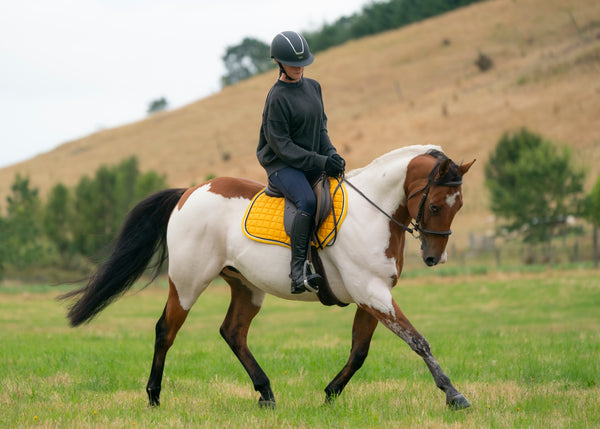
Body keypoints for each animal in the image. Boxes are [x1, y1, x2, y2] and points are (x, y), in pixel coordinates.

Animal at [59, 144, 474, 408]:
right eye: (435, 206)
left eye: (459, 206)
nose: (435, 257)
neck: (371, 213)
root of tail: (190, 191)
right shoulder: (372, 292)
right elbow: (418, 341)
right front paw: (453, 394)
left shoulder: (371, 295)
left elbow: (359, 352)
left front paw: (330, 394)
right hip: (188, 282)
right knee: (166, 330)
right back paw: (154, 395)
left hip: (246, 286)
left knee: (232, 332)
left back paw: (266, 393)